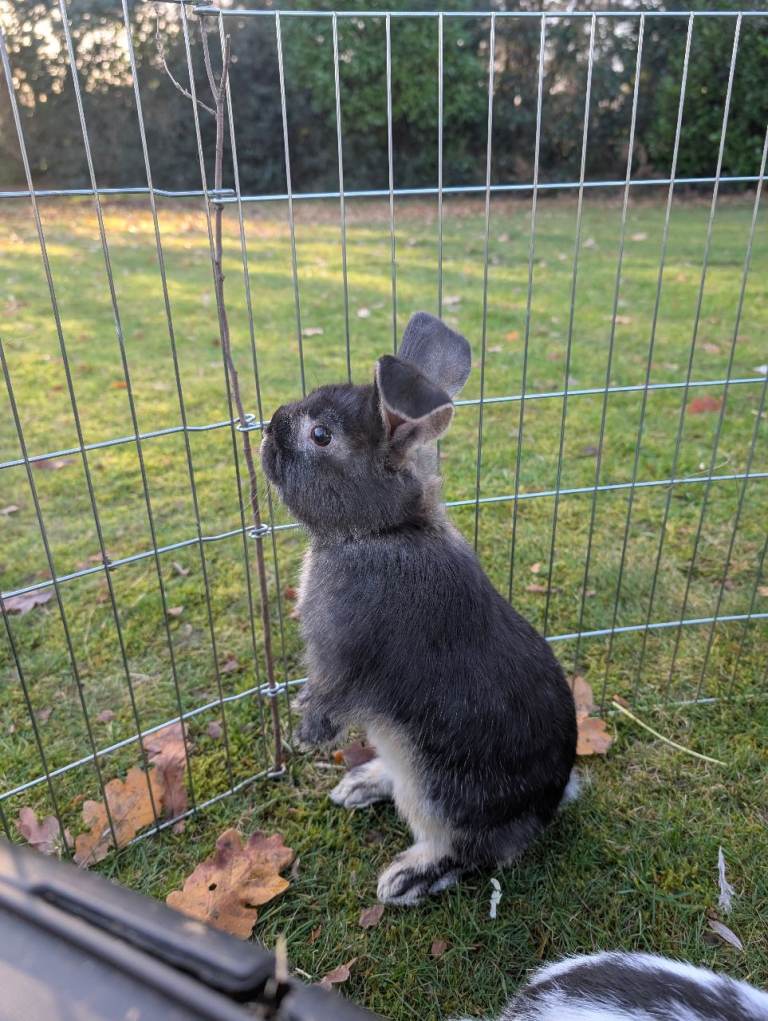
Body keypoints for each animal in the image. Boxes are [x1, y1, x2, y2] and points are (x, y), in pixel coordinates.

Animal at [261, 312, 577, 906]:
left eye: (321, 435)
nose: (268, 427)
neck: (384, 531)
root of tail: (543, 811)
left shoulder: (343, 658)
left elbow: (330, 693)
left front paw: (306, 734)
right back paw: (360, 785)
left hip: (439, 790)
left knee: (466, 849)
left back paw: (407, 877)